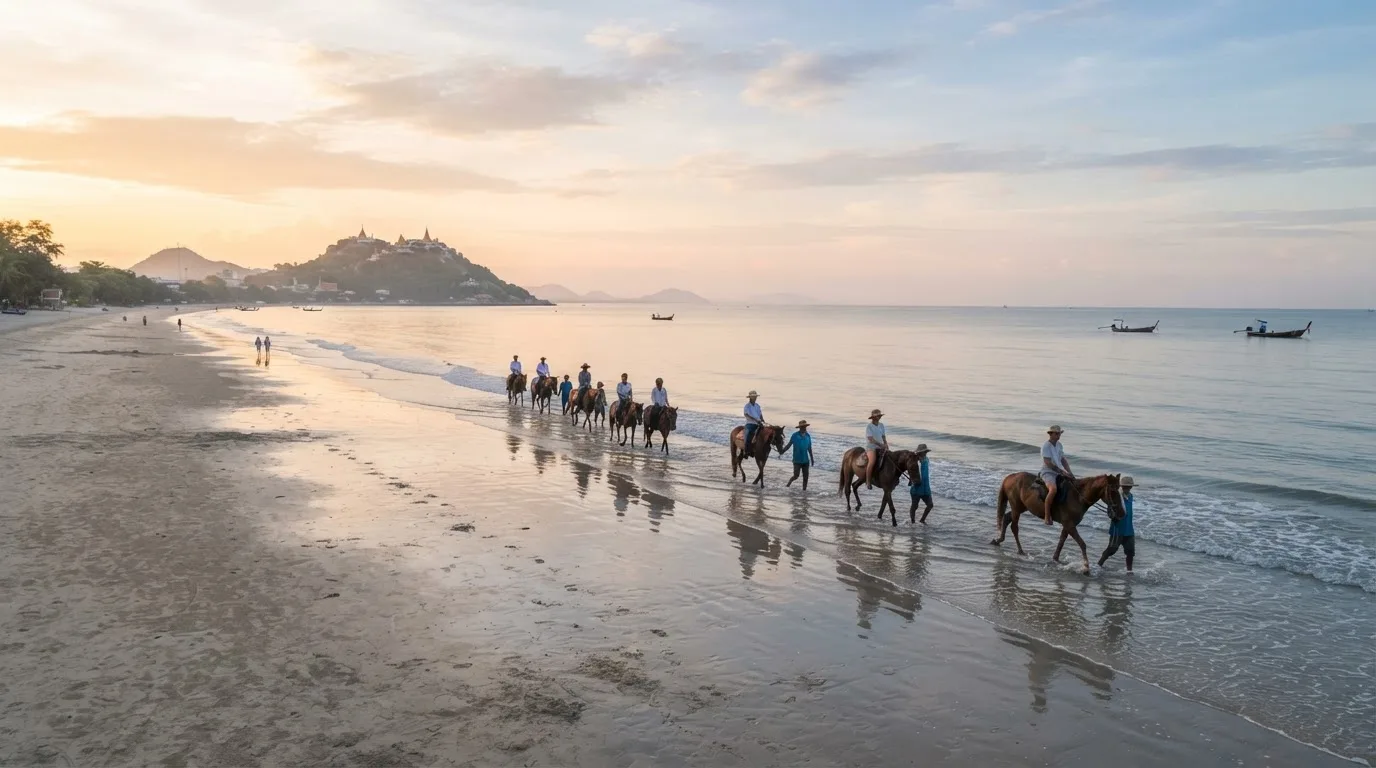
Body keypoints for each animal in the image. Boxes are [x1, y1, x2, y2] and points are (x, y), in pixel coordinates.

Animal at [992, 472, 1126, 574]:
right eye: (1113, 491)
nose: (1122, 513)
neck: (1078, 497)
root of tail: (1010, 477)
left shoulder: (1068, 525)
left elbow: (1061, 541)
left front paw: (1055, 559)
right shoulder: (1069, 525)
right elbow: (1082, 544)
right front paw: (1086, 568)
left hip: (1021, 507)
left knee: (1006, 518)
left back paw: (998, 540)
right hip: (1016, 507)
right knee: (1014, 527)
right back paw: (1020, 551)